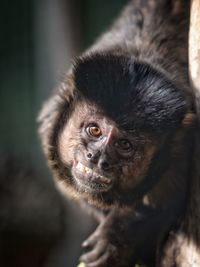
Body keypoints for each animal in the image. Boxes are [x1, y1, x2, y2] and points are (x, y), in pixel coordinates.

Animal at [38, 0, 198, 267]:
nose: (97, 157)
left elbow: (167, 206)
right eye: (94, 130)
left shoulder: (181, 149)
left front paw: (117, 236)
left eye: (125, 145)